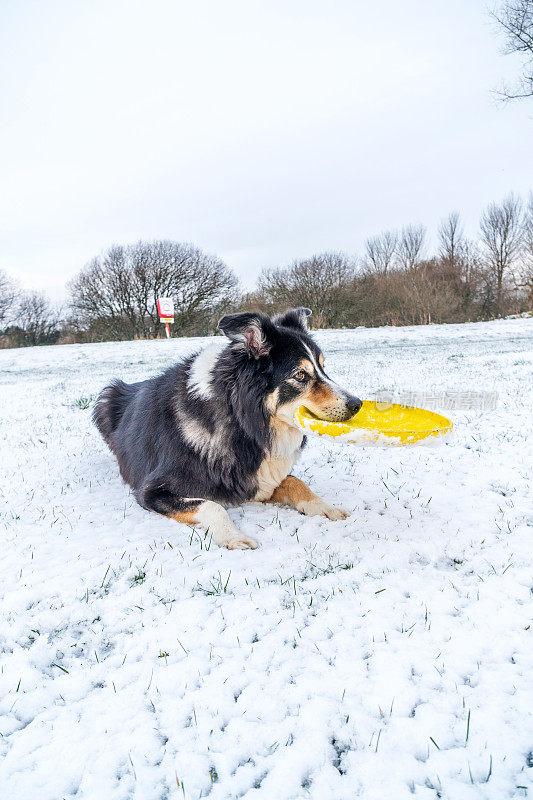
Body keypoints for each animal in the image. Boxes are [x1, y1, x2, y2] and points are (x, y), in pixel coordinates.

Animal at [94, 308, 362, 552]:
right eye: (300, 375)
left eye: (323, 368)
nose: (357, 404)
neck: (242, 424)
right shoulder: (152, 491)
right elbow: (211, 505)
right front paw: (233, 537)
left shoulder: (260, 479)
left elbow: (296, 482)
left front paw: (325, 507)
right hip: (105, 398)